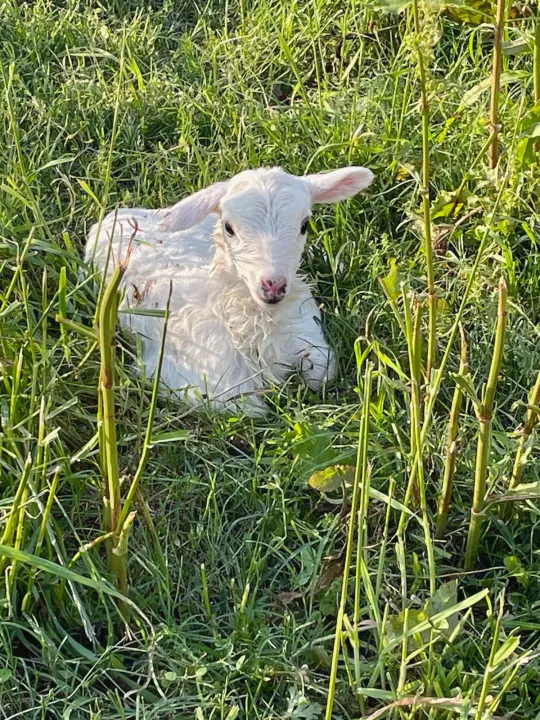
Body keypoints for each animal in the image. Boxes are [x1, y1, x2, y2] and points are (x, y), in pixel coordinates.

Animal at [86, 166, 374, 416]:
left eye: (304, 225)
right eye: (229, 228)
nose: (273, 284)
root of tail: (124, 212)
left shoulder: (310, 338)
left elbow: (321, 375)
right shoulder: (202, 386)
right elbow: (254, 409)